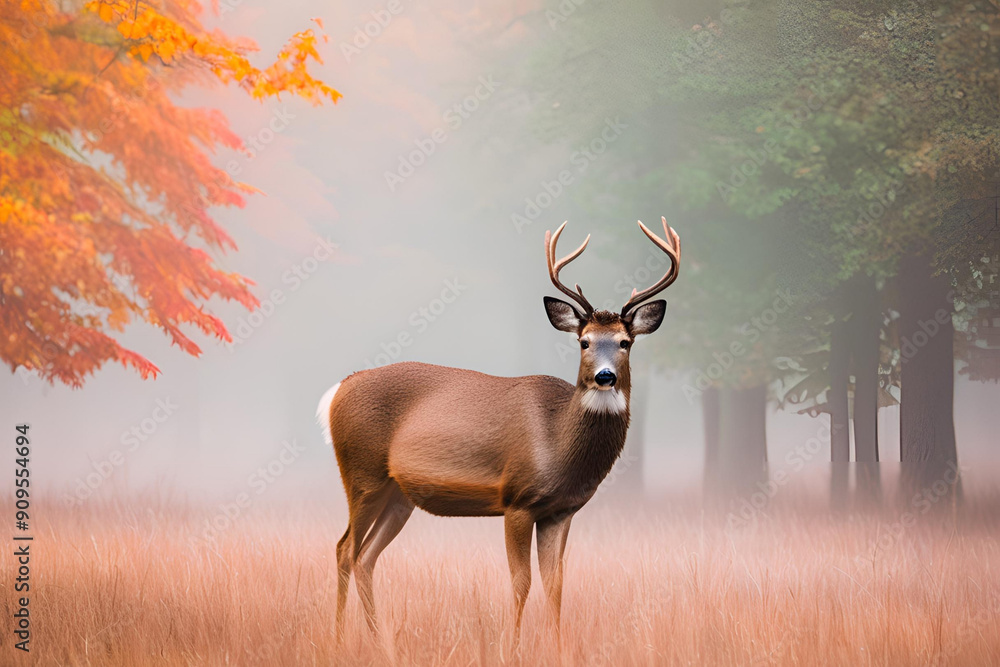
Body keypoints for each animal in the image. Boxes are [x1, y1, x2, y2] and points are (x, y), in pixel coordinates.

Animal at [316, 217, 680, 645]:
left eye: (625, 342)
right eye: (584, 342)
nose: (604, 376)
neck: (557, 443)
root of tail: (337, 391)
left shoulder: (561, 511)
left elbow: (556, 585)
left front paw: (558, 648)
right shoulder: (517, 500)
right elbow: (521, 582)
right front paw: (514, 645)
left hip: (398, 494)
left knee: (366, 556)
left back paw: (380, 641)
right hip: (362, 473)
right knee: (345, 549)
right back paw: (340, 638)